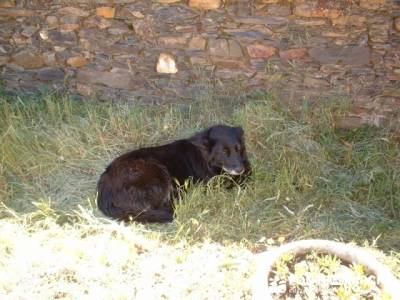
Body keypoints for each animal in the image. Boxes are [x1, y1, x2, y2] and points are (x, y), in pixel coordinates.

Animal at [96, 124, 250, 223]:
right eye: (224, 152)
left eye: (239, 148)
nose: (240, 169)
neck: (204, 157)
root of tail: (103, 191)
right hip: (159, 173)